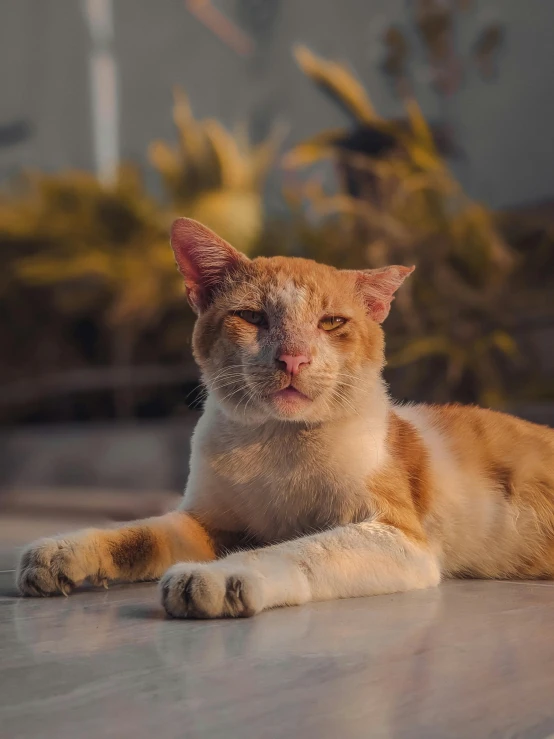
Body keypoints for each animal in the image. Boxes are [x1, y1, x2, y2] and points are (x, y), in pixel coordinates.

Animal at [16, 218, 552, 620]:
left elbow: (296, 548)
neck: (274, 444)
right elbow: (139, 531)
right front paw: (60, 553)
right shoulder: (205, 523)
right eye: (252, 317)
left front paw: (219, 577)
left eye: (331, 323)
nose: (293, 358)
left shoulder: (398, 538)